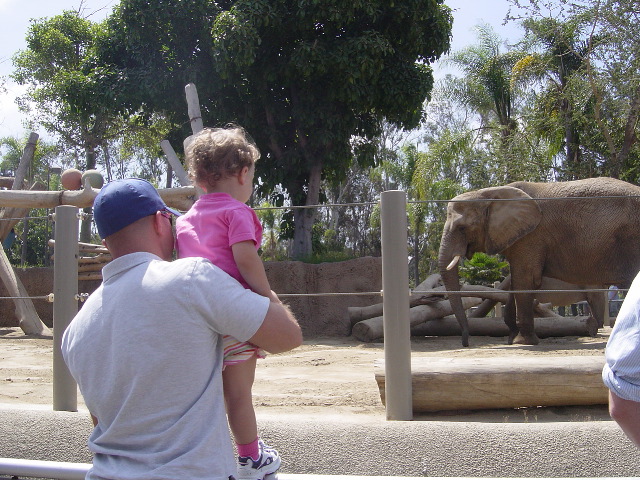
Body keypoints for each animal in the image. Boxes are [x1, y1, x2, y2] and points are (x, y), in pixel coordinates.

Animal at [440, 176, 640, 344]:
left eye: (462, 228)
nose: (466, 342)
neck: (488, 193)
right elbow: (516, 282)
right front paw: (513, 339)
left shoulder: (531, 237)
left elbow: (524, 281)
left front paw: (523, 342)